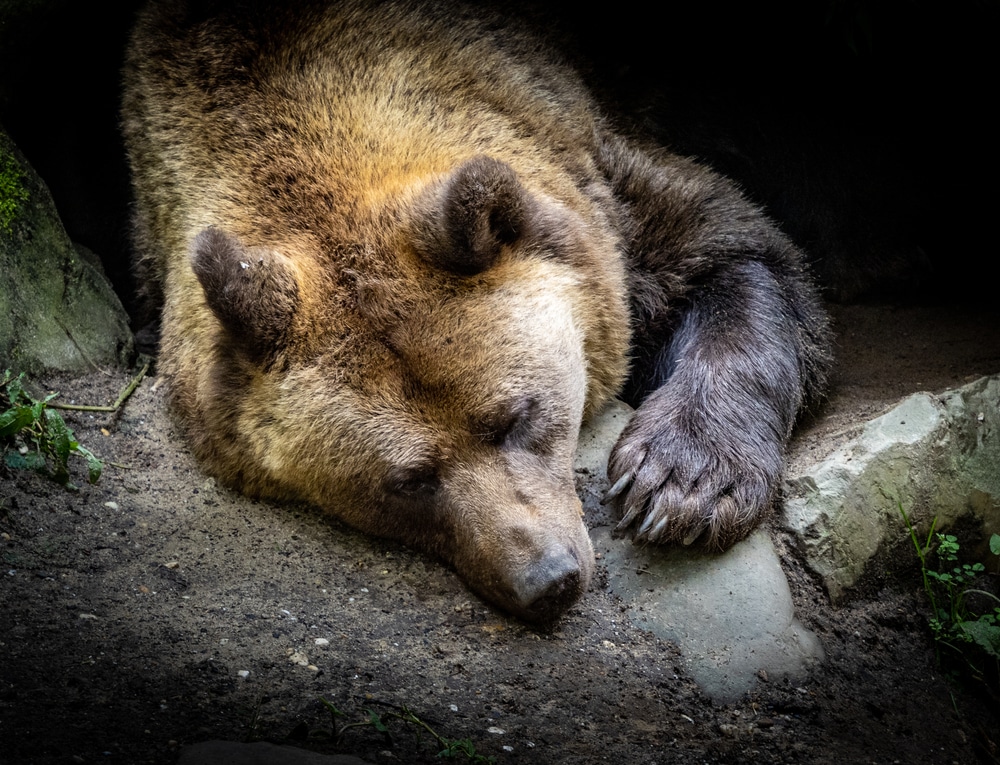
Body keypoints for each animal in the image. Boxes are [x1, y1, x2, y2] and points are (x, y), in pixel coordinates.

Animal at [121, 0, 832, 624]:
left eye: (517, 417)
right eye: (408, 480)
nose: (547, 579)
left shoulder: (602, 177)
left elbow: (731, 250)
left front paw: (678, 485)